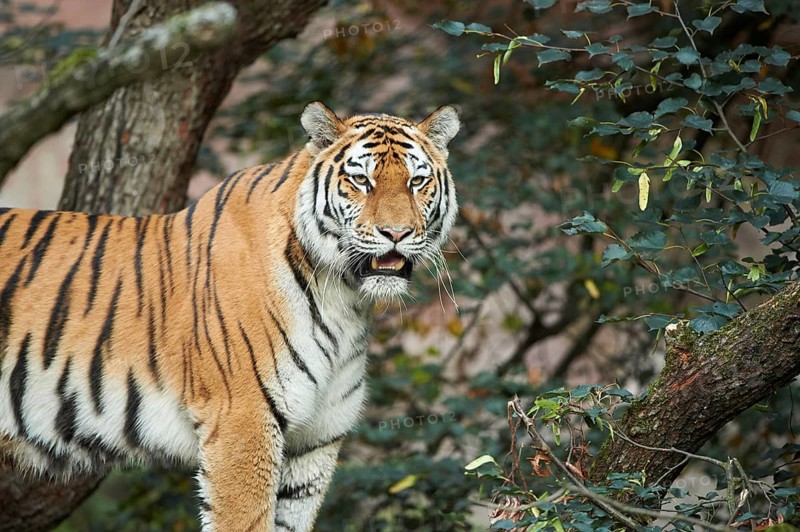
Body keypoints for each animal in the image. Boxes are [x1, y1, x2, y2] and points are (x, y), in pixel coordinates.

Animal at [0, 102, 459, 531]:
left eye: (417, 181)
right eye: (361, 180)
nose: (396, 234)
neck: (344, 301)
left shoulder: (315, 441)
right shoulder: (243, 421)